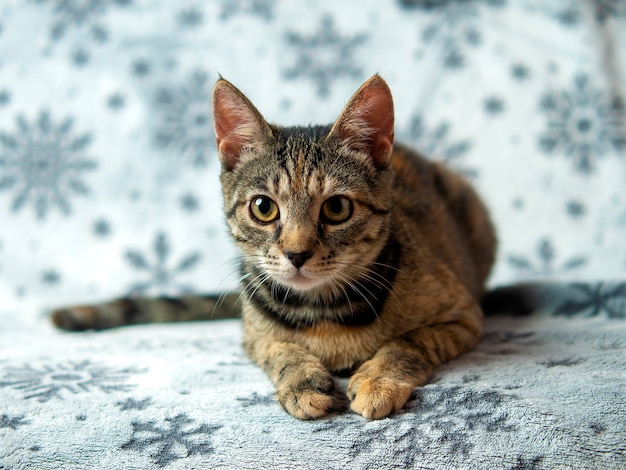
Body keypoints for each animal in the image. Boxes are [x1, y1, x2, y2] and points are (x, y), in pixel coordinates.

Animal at [52, 75, 492, 420]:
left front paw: (378, 379)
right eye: (264, 208)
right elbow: (279, 349)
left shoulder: (463, 316)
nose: (297, 254)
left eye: (336, 208)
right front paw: (301, 380)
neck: (321, 310)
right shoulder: (253, 335)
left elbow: (408, 342)